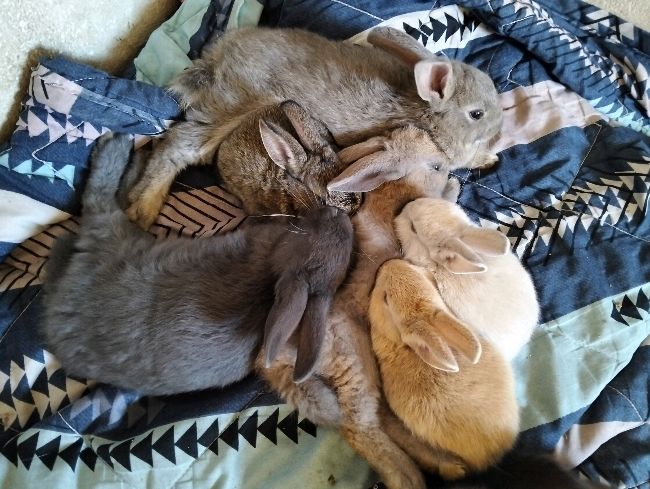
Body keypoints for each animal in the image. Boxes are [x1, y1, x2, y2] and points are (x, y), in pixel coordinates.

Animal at [257, 126, 479, 489]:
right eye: (435, 165)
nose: (452, 168)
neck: (399, 185)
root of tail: (277, 357)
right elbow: (444, 201)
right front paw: (453, 186)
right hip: (355, 360)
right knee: (359, 428)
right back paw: (411, 478)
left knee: (382, 419)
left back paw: (446, 465)